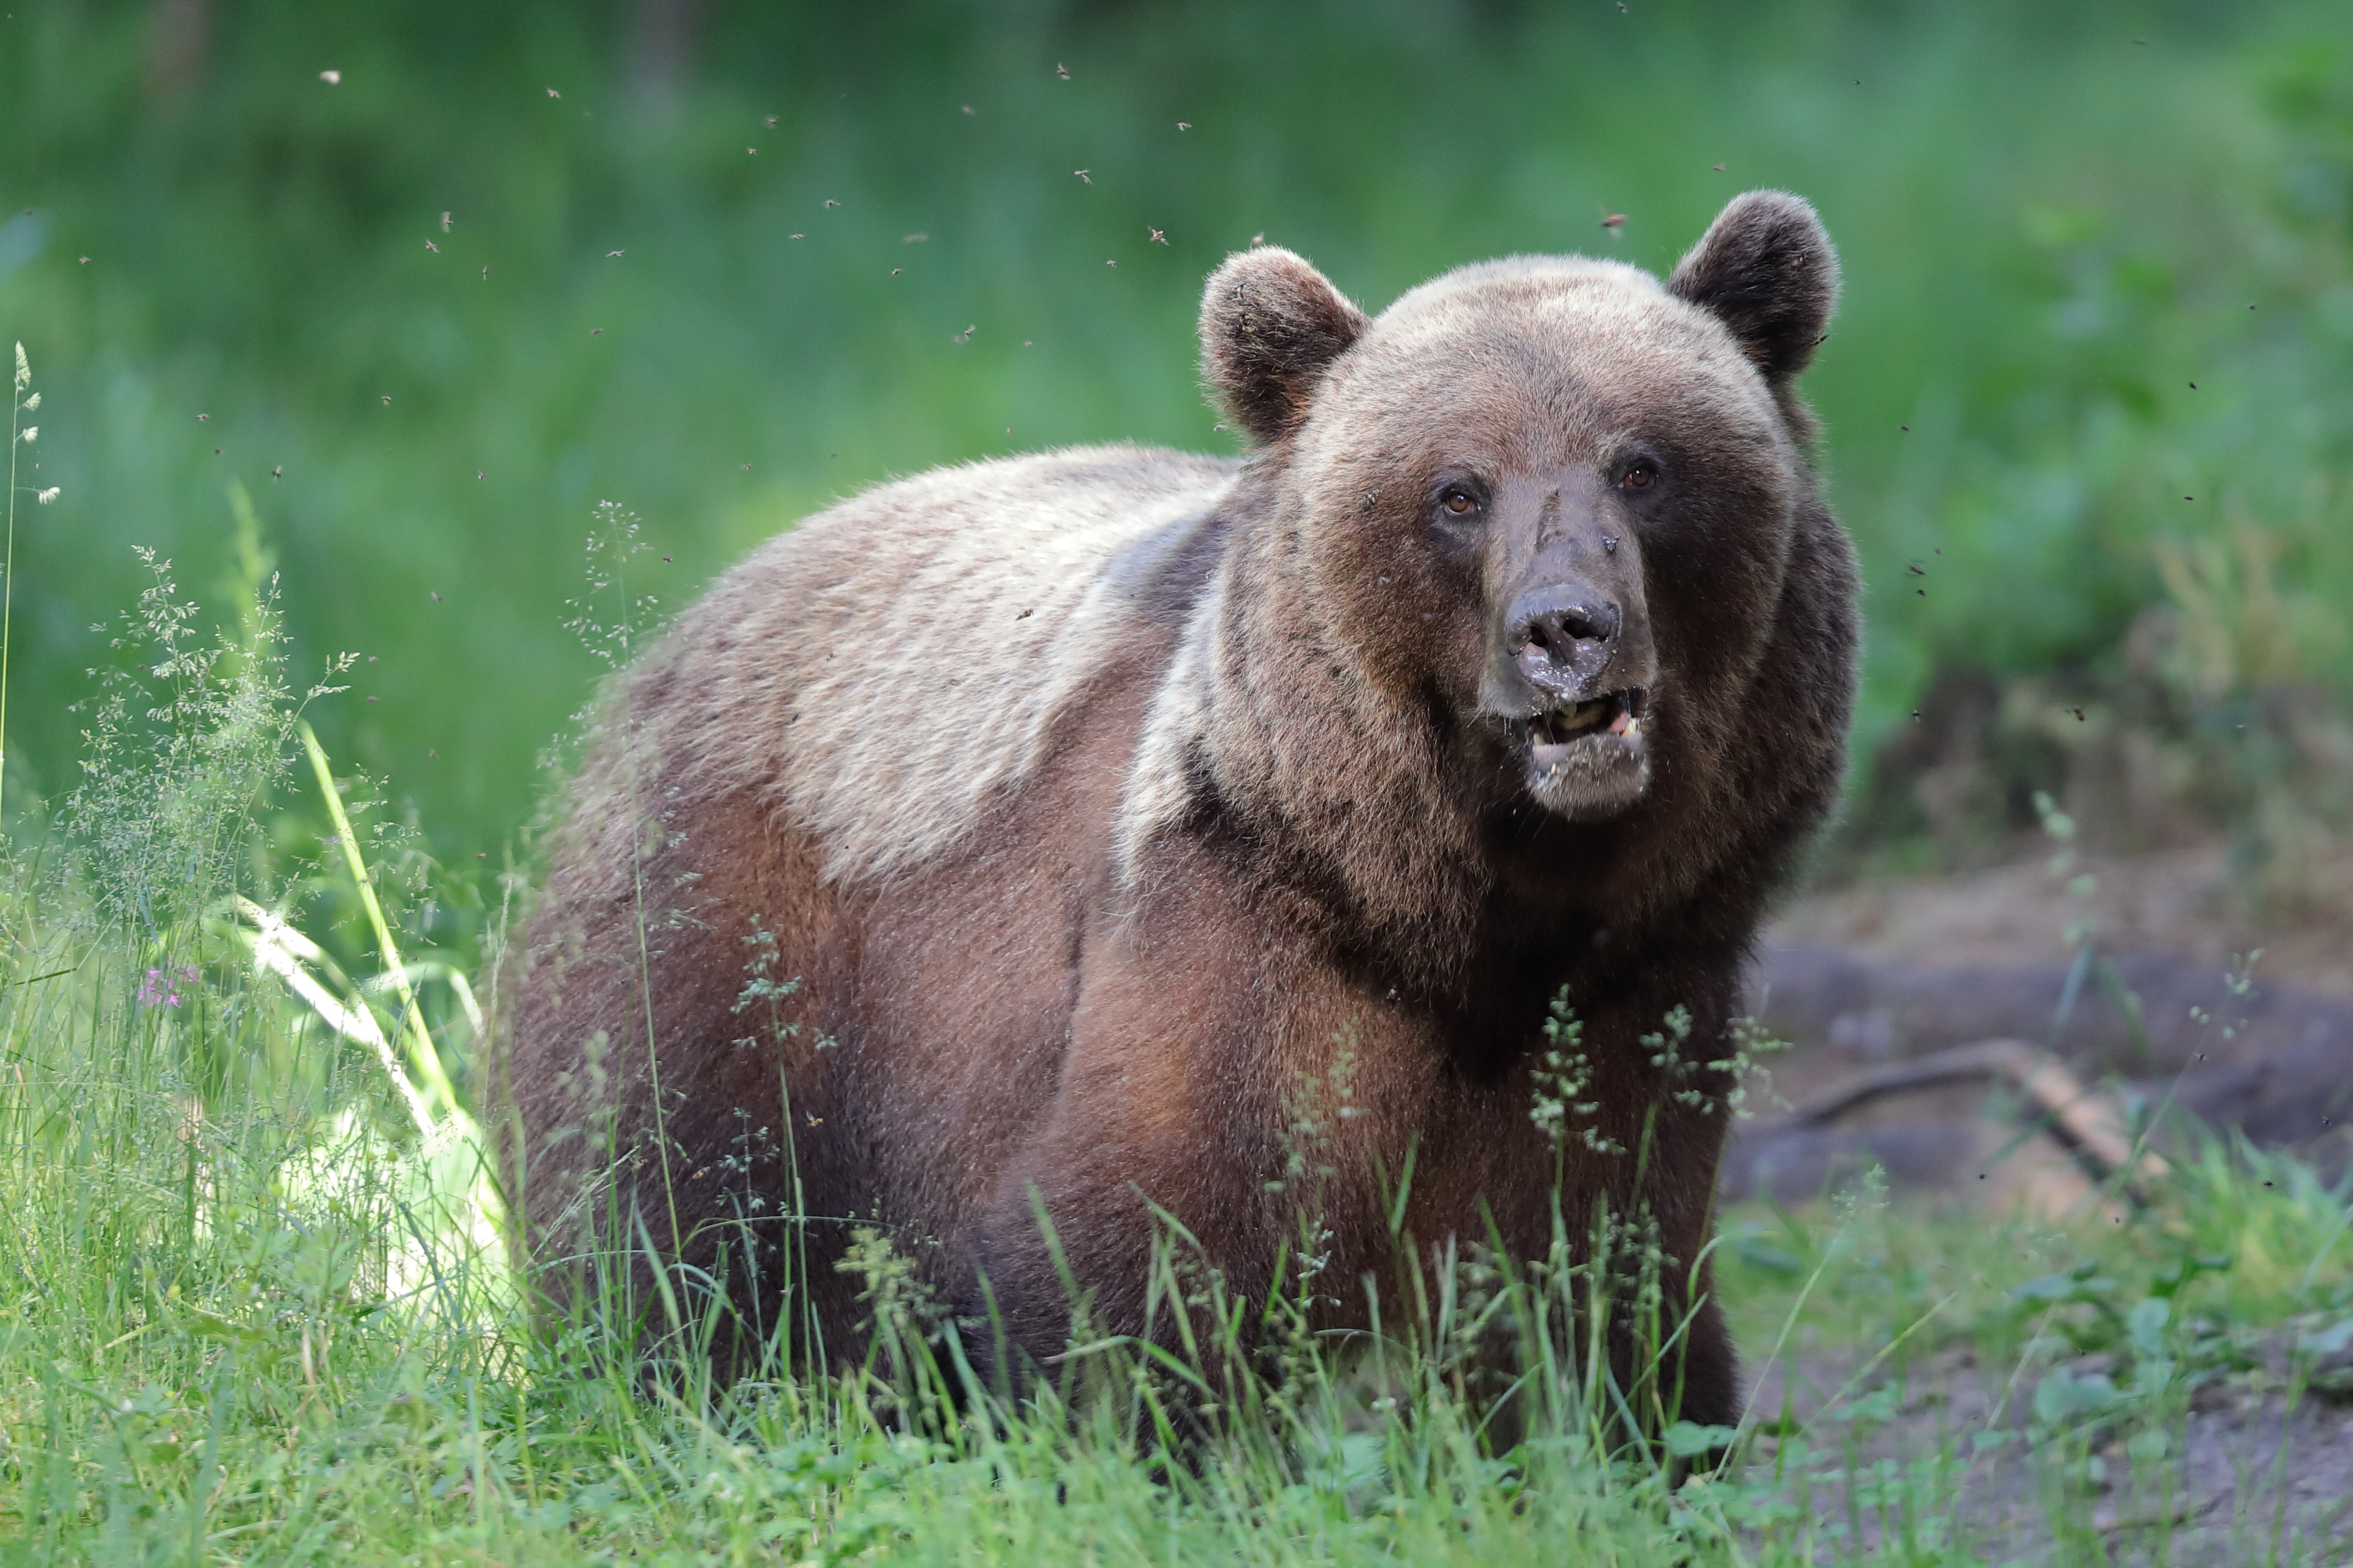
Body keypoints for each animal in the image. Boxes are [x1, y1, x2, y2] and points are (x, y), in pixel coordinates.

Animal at [510, 190, 1854, 1429]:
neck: (1457, 905)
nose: (1563, 627)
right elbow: (1129, 1256)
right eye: (1457, 490)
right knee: (684, 1223)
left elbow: (1596, 1292)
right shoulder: (1230, 934)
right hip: (740, 952)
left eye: (1641, 463)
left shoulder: (1637, 988)